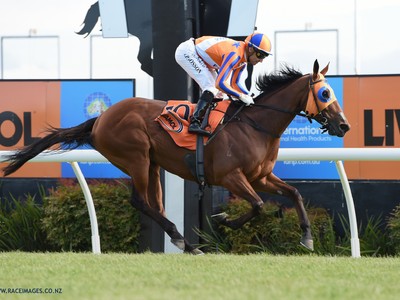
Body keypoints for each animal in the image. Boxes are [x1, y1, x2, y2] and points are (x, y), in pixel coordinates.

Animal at [1, 59, 348, 254]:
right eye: (325, 93)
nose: (343, 125)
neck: (256, 125)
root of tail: (99, 120)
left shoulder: (260, 176)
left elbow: (295, 193)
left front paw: (307, 238)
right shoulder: (230, 177)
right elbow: (258, 205)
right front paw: (224, 219)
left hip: (152, 165)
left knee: (154, 205)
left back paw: (186, 243)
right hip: (137, 158)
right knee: (141, 202)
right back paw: (186, 244)